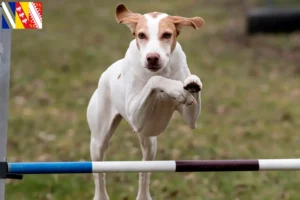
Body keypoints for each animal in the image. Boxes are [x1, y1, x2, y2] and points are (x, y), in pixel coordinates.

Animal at [86, 3, 204, 200]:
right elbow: (155, 81)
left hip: (149, 143)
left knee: (144, 171)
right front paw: (174, 88)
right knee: (99, 174)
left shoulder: (191, 118)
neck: (162, 71)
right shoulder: (135, 114)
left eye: (167, 35)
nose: (152, 57)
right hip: (99, 141)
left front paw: (192, 83)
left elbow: (191, 101)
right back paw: (101, 195)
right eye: (141, 35)